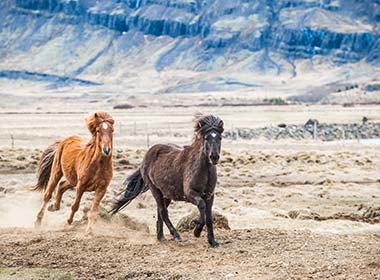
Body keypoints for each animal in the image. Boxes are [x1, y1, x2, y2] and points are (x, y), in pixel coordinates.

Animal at [110, 114, 223, 247]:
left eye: (220, 137)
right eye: (206, 138)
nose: (214, 157)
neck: (203, 170)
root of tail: (146, 157)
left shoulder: (210, 195)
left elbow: (209, 218)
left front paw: (213, 242)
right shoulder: (190, 194)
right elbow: (201, 206)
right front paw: (197, 232)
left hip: (167, 194)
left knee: (160, 212)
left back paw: (161, 237)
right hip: (155, 190)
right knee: (163, 212)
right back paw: (176, 235)